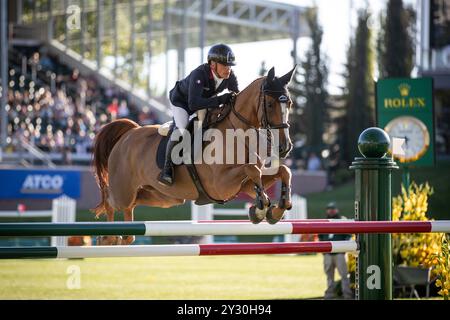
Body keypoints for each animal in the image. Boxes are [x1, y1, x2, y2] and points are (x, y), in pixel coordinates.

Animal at [91, 66, 296, 244]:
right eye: (269, 104)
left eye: (290, 103)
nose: (285, 147)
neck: (237, 133)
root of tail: (129, 134)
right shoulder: (220, 184)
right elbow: (252, 169)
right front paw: (261, 209)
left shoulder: (242, 185)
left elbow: (282, 171)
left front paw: (277, 209)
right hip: (123, 192)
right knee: (111, 201)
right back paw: (107, 238)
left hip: (164, 197)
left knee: (132, 206)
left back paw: (122, 237)